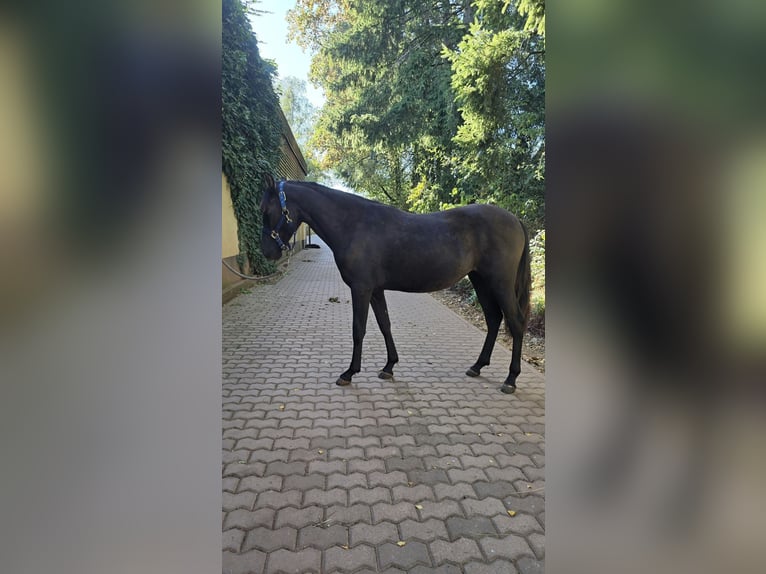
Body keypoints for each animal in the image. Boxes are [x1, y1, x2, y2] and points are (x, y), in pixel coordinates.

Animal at [259, 175, 531, 394]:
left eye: (265, 210)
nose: (267, 252)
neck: (354, 224)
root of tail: (516, 220)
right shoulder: (376, 290)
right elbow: (385, 325)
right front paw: (389, 367)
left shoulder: (361, 289)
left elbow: (358, 330)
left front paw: (349, 373)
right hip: (480, 281)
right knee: (494, 319)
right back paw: (477, 366)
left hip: (500, 283)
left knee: (516, 322)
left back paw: (510, 380)